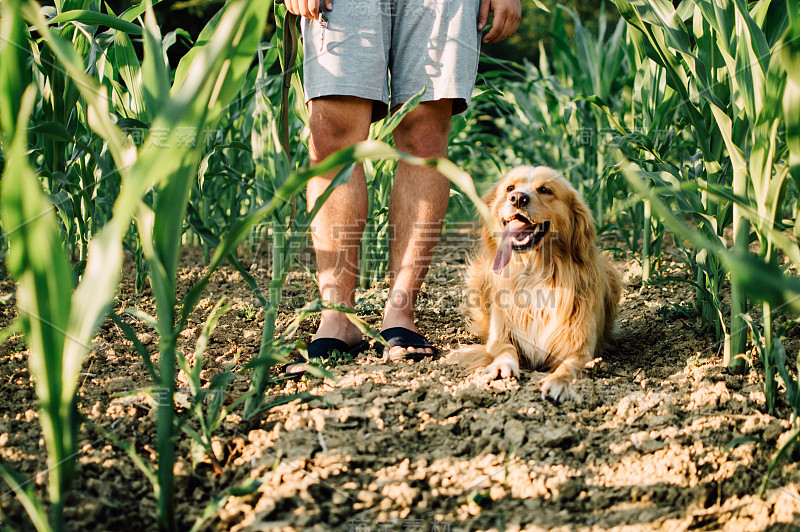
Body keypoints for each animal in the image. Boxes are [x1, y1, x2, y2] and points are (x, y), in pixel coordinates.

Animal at [456, 166, 620, 400]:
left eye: (545, 190)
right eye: (510, 188)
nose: (517, 198)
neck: (534, 272)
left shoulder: (583, 349)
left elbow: (569, 366)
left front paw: (558, 382)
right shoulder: (499, 335)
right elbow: (505, 349)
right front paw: (501, 368)